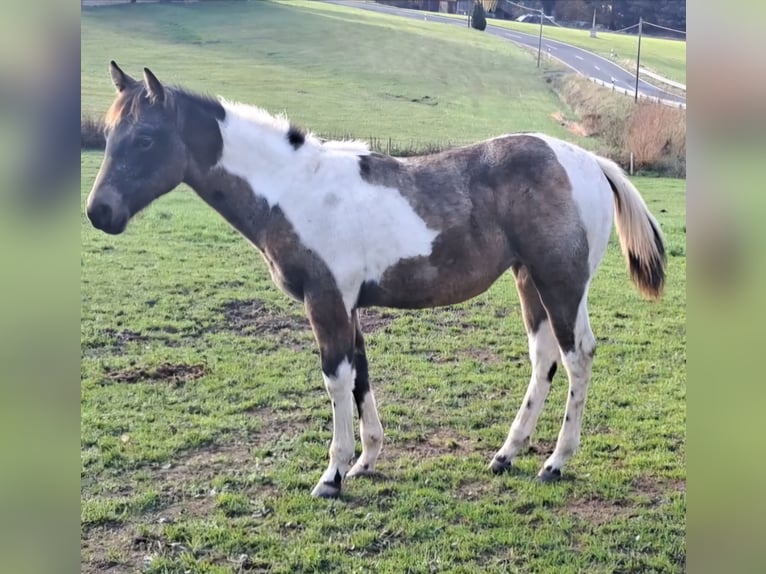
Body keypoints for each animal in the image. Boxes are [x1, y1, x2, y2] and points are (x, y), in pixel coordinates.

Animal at [87, 63, 668, 500]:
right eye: (110, 135)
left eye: (145, 139)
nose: (99, 212)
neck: (294, 189)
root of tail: (590, 159)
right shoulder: (347, 305)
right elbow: (360, 373)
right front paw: (365, 460)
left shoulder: (324, 301)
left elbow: (336, 378)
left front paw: (333, 474)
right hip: (530, 281)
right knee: (544, 356)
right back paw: (507, 454)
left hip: (560, 283)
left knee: (577, 357)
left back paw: (555, 462)